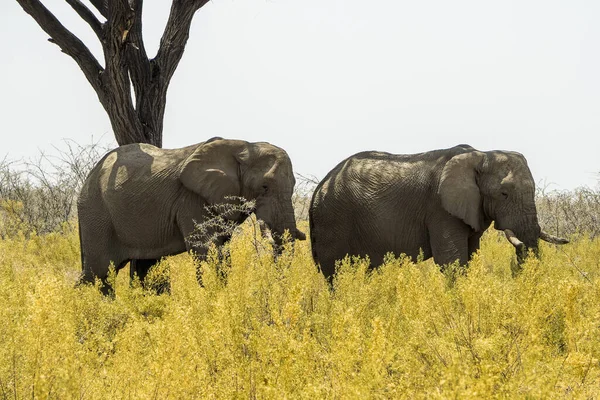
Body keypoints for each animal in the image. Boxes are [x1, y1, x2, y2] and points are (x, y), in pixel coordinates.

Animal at [78, 138, 304, 294]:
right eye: (264, 187)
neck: (244, 146)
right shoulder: (191, 199)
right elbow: (206, 250)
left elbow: (222, 252)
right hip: (96, 213)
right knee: (98, 272)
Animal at [310, 145, 568, 282]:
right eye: (504, 194)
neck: (481, 155)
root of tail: (319, 187)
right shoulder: (440, 209)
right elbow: (452, 260)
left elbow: (470, 255)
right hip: (333, 218)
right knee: (335, 273)